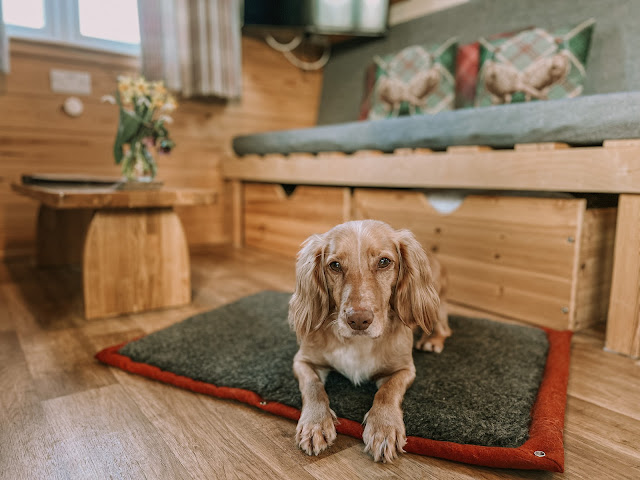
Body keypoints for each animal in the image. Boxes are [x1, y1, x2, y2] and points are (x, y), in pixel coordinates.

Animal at [288, 220, 450, 463]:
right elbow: (313, 387)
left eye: (384, 262)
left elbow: (387, 392)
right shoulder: (303, 361)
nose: (358, 320)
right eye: (335, 265)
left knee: (444, 327)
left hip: (434, 304)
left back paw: (433, 341)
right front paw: (315, 423)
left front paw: (384, 427)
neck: (357, 343)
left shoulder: (404, 370)